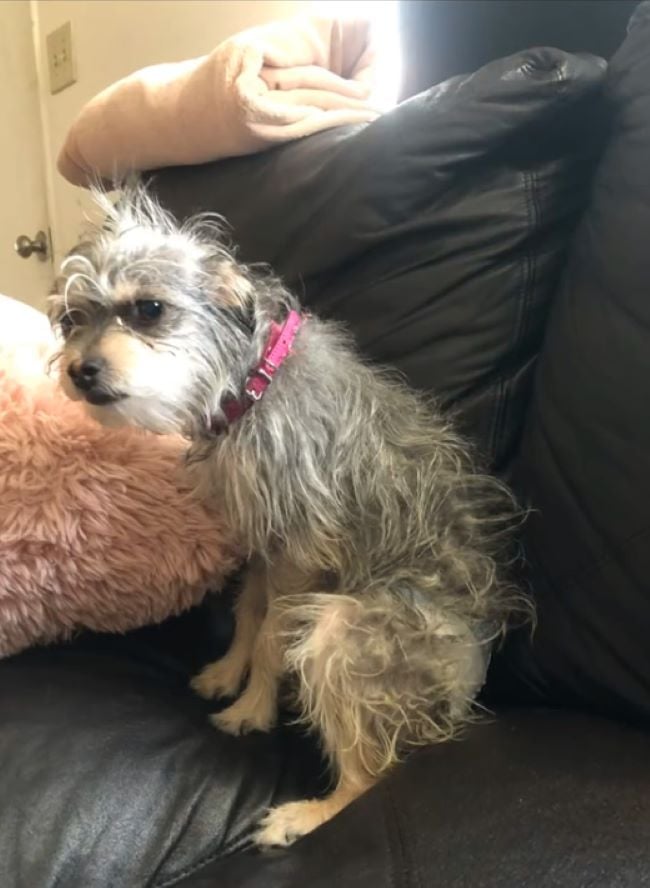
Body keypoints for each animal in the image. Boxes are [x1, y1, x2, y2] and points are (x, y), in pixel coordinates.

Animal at [50, 186, 528, 848]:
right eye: (71, 321)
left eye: (149, 309)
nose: (80, 371)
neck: (252, 389)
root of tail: (466, 691)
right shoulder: (262, 542)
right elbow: (250, 613)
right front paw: (229, 672)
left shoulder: (301, 550)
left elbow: (275, 637)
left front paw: (251, 709)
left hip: (342, 632)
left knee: (372, 777)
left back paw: (302, 816)